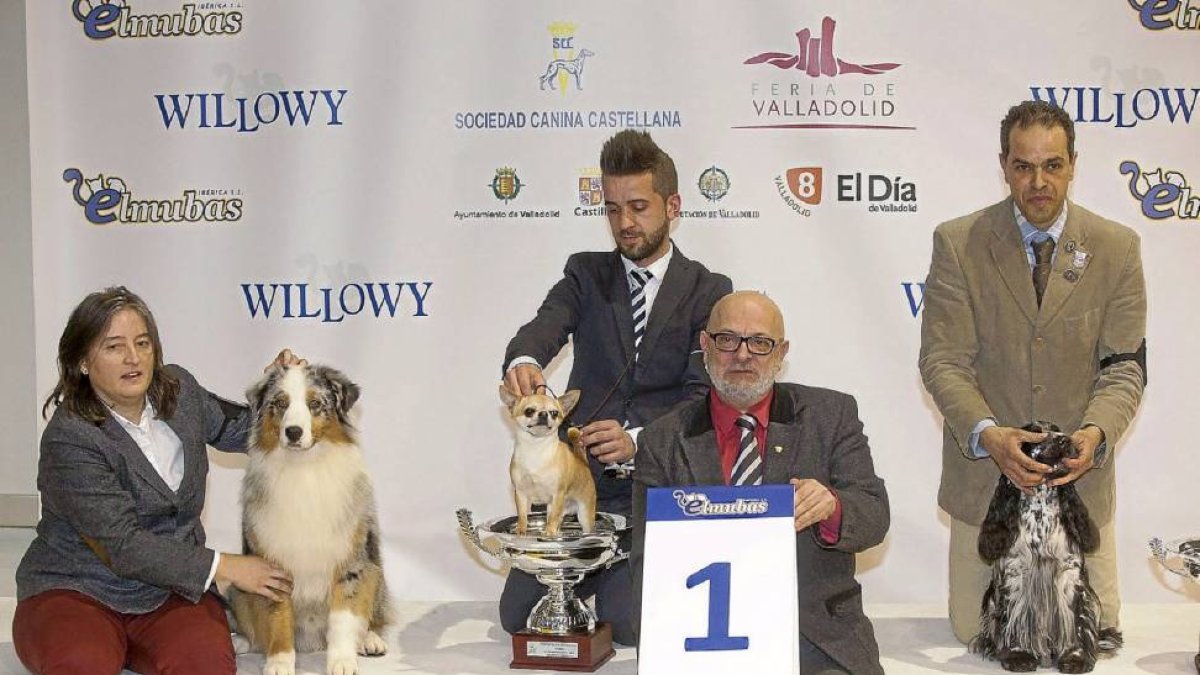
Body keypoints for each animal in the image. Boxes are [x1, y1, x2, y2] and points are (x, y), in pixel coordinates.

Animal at [229, 365, 388, 672]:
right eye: (280, 403)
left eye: (315, 403)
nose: (293, 432)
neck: (303, 468)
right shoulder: (273, 567)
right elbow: (278, 617)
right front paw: (279, 662)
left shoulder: (349, 561)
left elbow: (343, 617)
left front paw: (342, 662)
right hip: (239, 589)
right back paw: (240, 642)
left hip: (374, 570)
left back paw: (369, 640)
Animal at [969, 417, 1118, 667]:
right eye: (1036, 433)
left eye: (1057, 430)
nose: (1064, 439)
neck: (1041, 510)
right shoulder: (1015, 572)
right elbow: (1014, 617)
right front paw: (1018, 655)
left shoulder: (1069, 572)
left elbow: (1075, 620)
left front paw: (1076, 657)